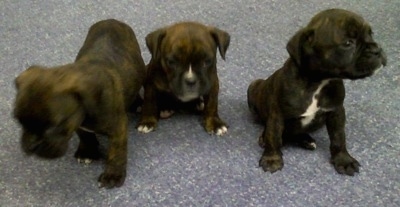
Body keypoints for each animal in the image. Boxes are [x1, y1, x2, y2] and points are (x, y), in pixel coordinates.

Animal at [13, 19, 146, 188]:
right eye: (19, 122)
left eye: (55, 126)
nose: (30, 147)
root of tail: (111, 20)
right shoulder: (77, 122)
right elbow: (85, 135)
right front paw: (87, 151)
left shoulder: (118, 127)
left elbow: (116, 153)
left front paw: (113, 175)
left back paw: (137, 104)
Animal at [247, 8, 388, 175]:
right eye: (348, 43)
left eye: (371, 34)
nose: (377, 49)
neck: (318, 82)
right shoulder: (277, 115)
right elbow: (273, 136)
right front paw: (272, 158)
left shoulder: (336, 112)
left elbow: (339, 137)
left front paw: (343, 159)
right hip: (253, 87)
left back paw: (306, 140)